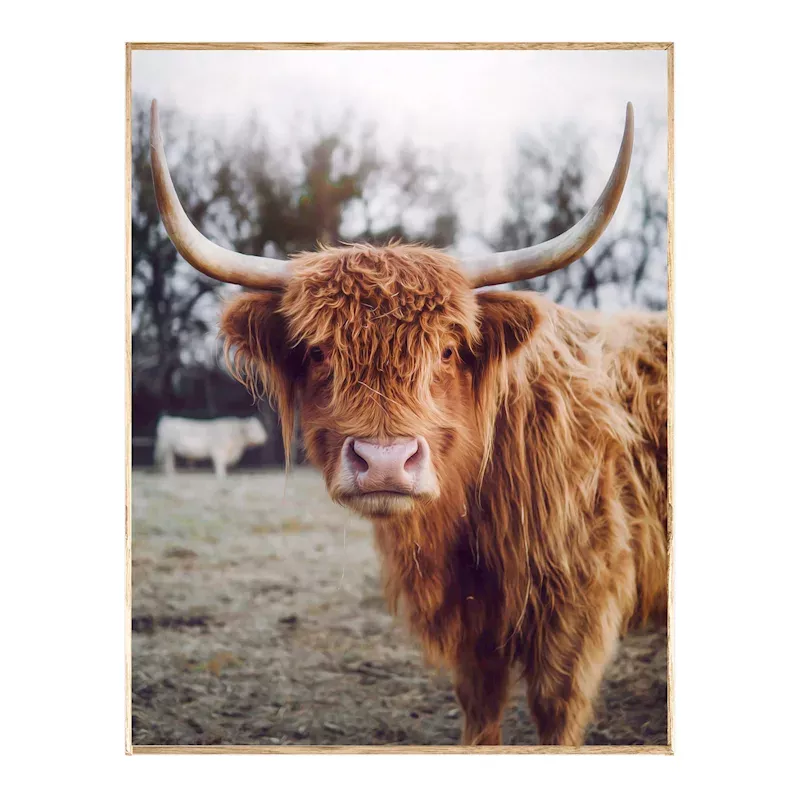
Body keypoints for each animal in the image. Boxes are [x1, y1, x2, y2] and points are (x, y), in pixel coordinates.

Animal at [150, 99, 668, 746]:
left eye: (447, 350)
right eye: (317, 352)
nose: (385, 463)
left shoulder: (579, 603)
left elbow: (555, 710)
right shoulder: (470, 628)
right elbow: (480, 710)